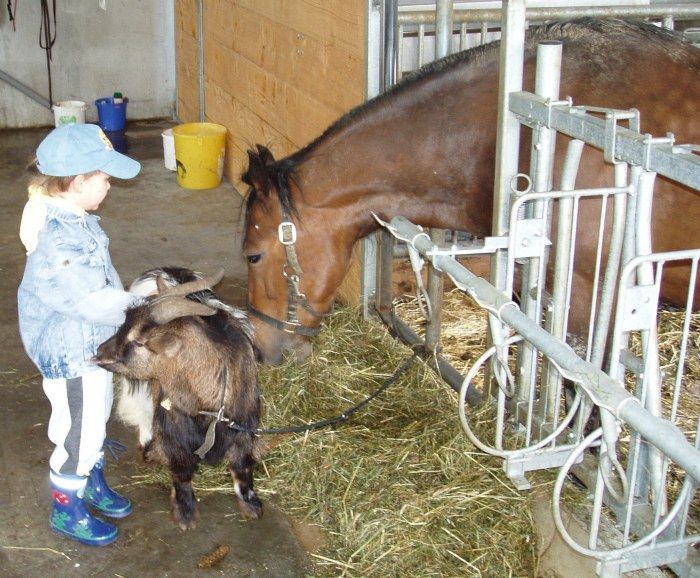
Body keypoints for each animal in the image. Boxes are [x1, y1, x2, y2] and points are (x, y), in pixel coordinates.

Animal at [94, 266, 264, 528]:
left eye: (138, 342)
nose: (99, 352)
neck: (208, 408)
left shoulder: (243, 424)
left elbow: (241, 465)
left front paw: (251, 505)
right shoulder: (173, 428)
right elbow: (181, 469)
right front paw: (185, 512)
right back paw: (148, 445)